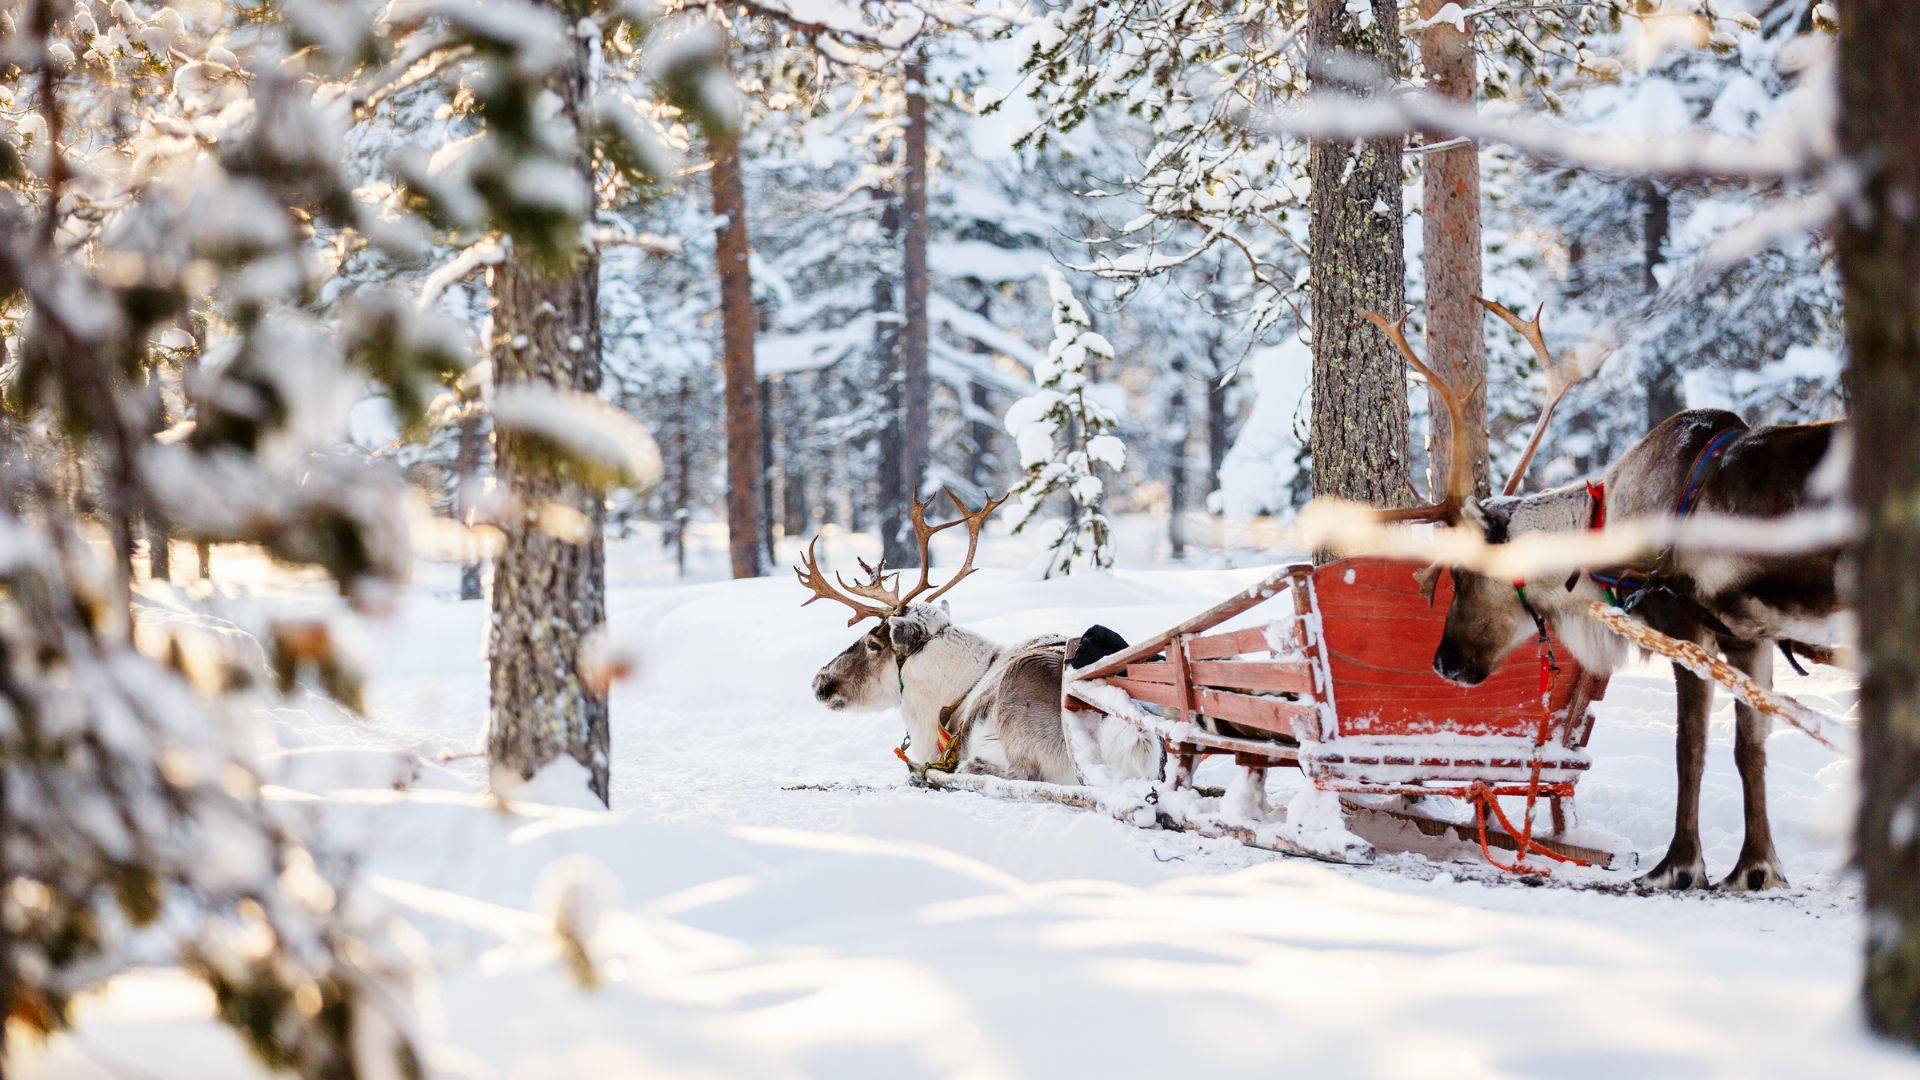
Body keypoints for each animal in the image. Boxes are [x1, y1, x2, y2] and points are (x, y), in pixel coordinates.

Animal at [799, 489, 1162, 786]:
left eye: (873, 643)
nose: (819, 681)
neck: (959, 689)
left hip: (1025, 688)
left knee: (1025, 774)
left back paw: (971, 767)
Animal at [1363, 301, 1846, 892]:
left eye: (1466, 573)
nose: (1442, 663)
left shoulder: (1684, 628)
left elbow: (1690, 748)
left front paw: (1678, 866)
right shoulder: (1749, 638)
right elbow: (1749, 749)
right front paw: (1756, 866)